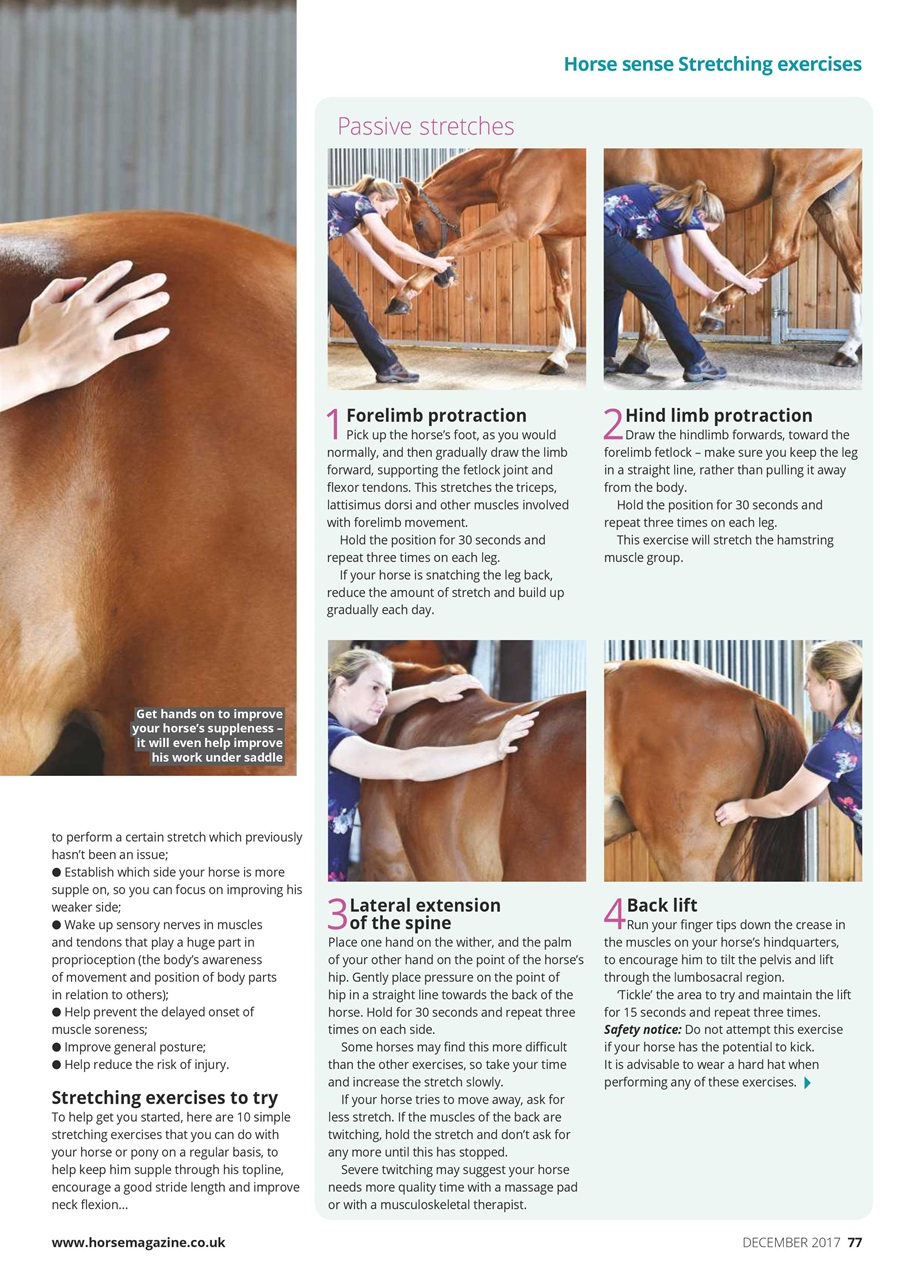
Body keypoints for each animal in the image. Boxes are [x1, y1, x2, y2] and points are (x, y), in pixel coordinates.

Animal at [384, 149, 586, 375]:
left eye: (419, 224)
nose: (442, 279)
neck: (513, 162)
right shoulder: (556, 237)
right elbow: (561, 291)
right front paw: (559, 357)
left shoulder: (513, 223)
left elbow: (452, 248)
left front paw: (403, 295)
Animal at [603, 148, 863, 369]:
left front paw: (637, 352)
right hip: (828, 204)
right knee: (853, 261)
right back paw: (848, 350)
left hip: (793, 188)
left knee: (783, 251)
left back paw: (713, 312)